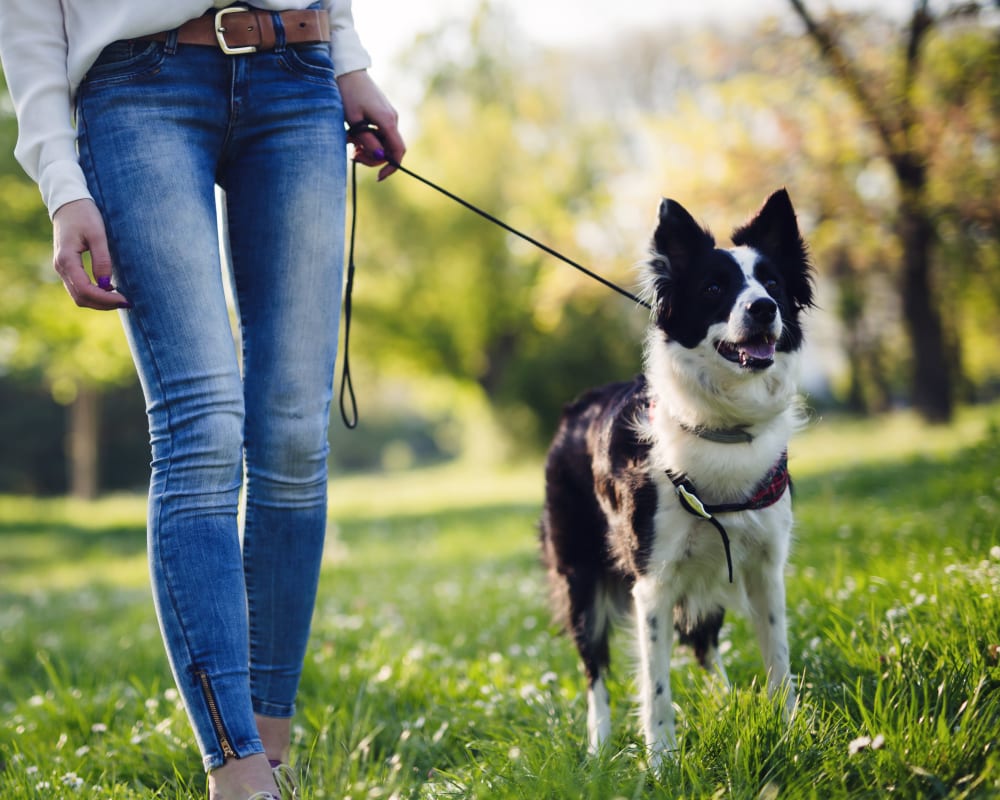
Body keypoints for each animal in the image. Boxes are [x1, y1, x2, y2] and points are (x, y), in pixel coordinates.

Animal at [540, 189, 812, 768]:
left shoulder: (765, 568)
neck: (723, 426)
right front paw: (662, 762)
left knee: (705, 645)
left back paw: (728, 703)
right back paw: (598, 746)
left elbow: (778, 660)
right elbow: (657, 684)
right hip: (580, 579)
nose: (764, 308)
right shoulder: (654, 583)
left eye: (773, 284)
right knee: (595, 670)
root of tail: (574, 409)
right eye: (713, 288)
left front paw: (790, 733)